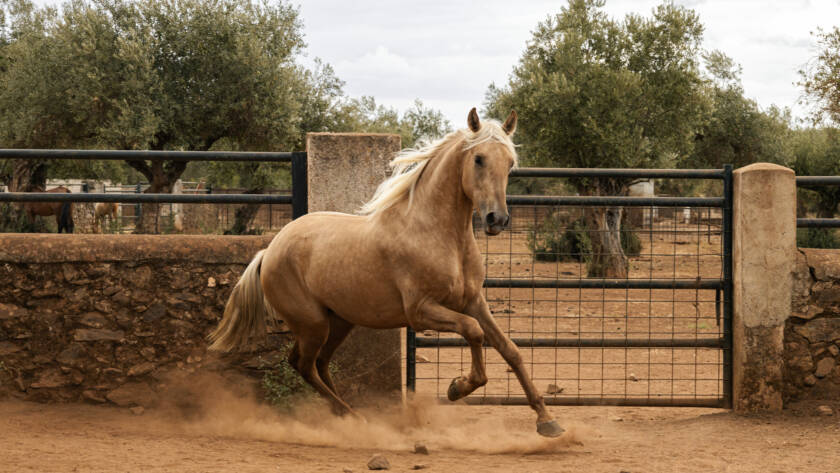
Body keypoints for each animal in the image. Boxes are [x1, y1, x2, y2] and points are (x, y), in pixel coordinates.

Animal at [208, 108, 565, 438]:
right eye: (478, 158)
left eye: (510, 163)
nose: (497, 219)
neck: (437, 235)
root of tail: (269, 251)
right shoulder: (421, 311)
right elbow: (474, 332)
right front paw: (457, 387)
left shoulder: (473, 301)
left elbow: (510, 350)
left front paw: (548, 421)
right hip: (313, 324)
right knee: (303, 364)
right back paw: (354, 418)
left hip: (339, 321)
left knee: (319, 364)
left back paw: (347, 416)